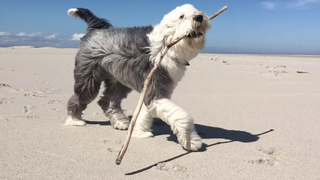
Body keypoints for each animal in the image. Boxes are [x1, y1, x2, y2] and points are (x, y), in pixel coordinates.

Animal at [65, 3, 210, 151]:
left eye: (196, 11)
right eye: (181, 16)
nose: (199, 17)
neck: (167, 44)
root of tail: (95, 30)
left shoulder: (150, 89)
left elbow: (144, 113)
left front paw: (140, 132)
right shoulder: (155, 89)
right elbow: (182, 116)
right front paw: (192, 141)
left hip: (117, 80)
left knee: (108, 100)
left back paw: (120, 122)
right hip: (88, 76)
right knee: (80, 96)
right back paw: (74, 120)